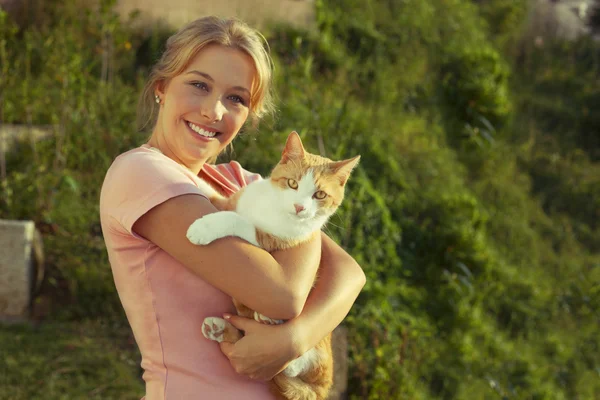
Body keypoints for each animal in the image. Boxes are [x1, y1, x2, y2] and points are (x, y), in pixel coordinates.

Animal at [185, 131, 358, 400]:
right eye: (293, 183)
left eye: (319, 195)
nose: (299, 207)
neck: (274, 207)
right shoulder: (231, 200)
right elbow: (214, 195)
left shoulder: (270, 241)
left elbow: (237, 220)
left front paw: (203, 228)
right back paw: (220, 328)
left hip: (317, 356)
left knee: (298, 366)